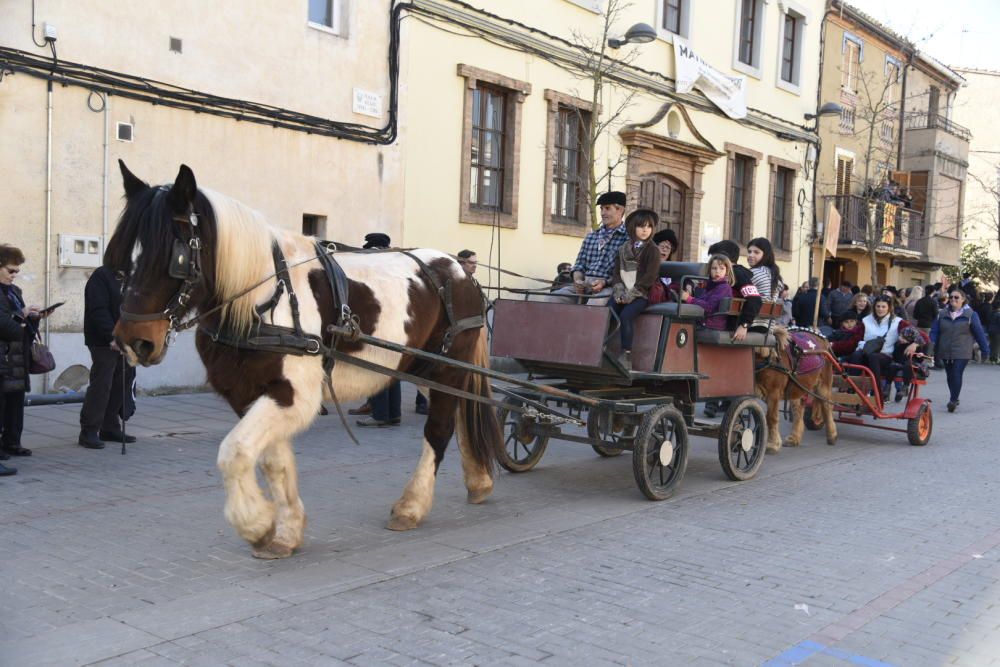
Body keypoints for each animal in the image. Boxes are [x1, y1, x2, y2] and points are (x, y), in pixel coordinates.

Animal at [106, 163, 504, 560]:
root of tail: (460, 271)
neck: (262, 298)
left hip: (449, 366)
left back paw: (413, 505)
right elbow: (272, 461)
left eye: (174, 258)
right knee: (462, 411)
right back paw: (479, 479)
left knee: (439, 428)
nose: (133, 341)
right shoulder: (250, 395)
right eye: (119, 258)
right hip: (423, 369)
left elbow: (234, 452)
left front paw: (256, 524)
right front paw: (285, 531)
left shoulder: (292, 395)